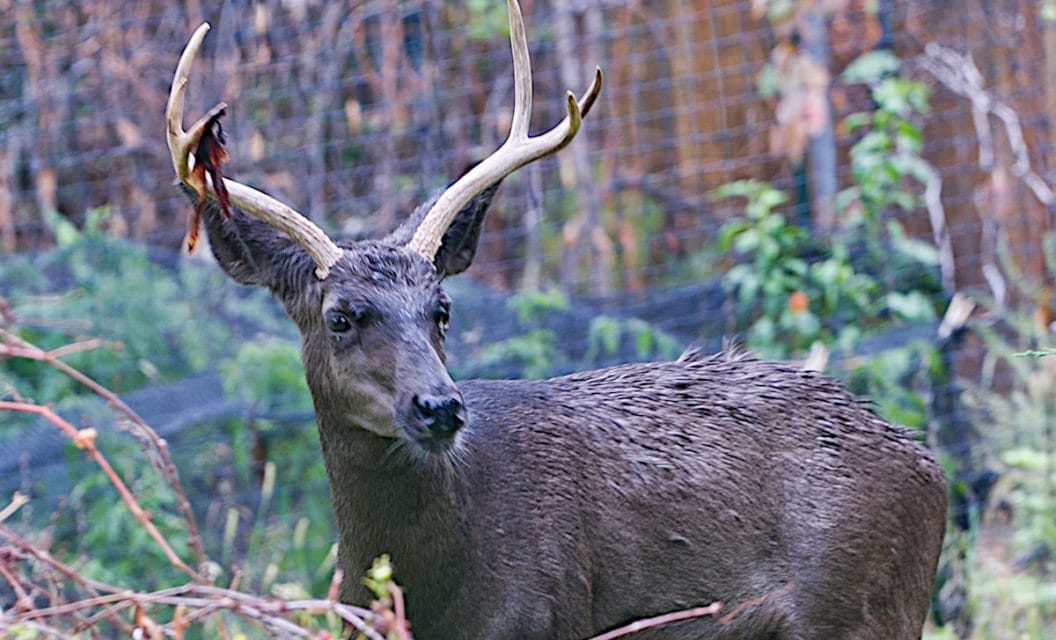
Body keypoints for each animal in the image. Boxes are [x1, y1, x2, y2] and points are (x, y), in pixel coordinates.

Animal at [166, 2, 950, 637]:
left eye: (442, 308)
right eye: (340, 317)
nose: (439, 406)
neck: (424, 585)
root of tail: (930, 469)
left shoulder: (546, 617)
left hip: (863, 604)